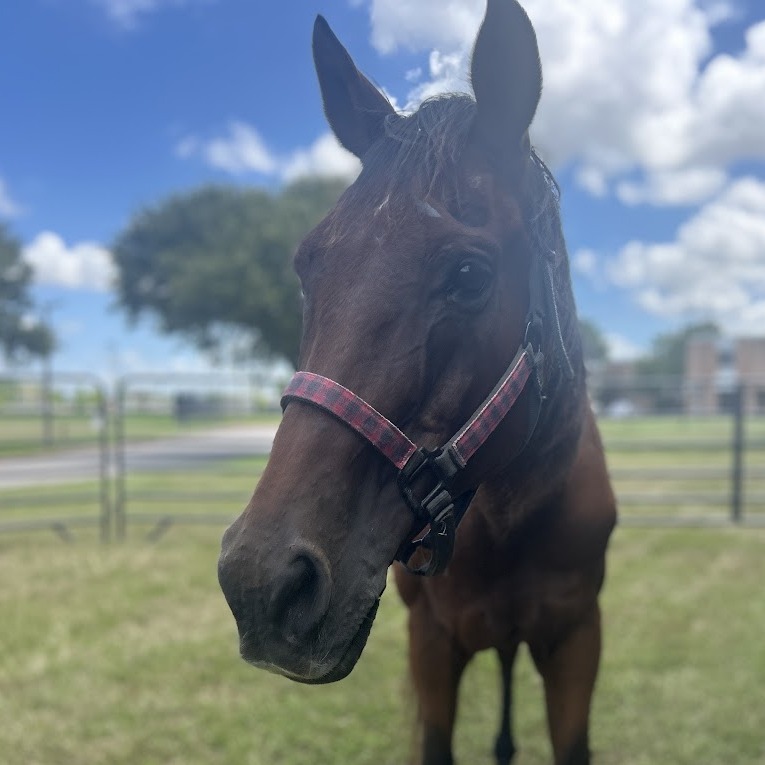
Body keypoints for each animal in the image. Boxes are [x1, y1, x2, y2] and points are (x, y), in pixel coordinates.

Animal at [217, 1, 617, 763]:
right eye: (306, 266)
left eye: (470, 274)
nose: (260, 583)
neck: (509, 519)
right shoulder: (431, 641)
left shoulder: (577, 637)